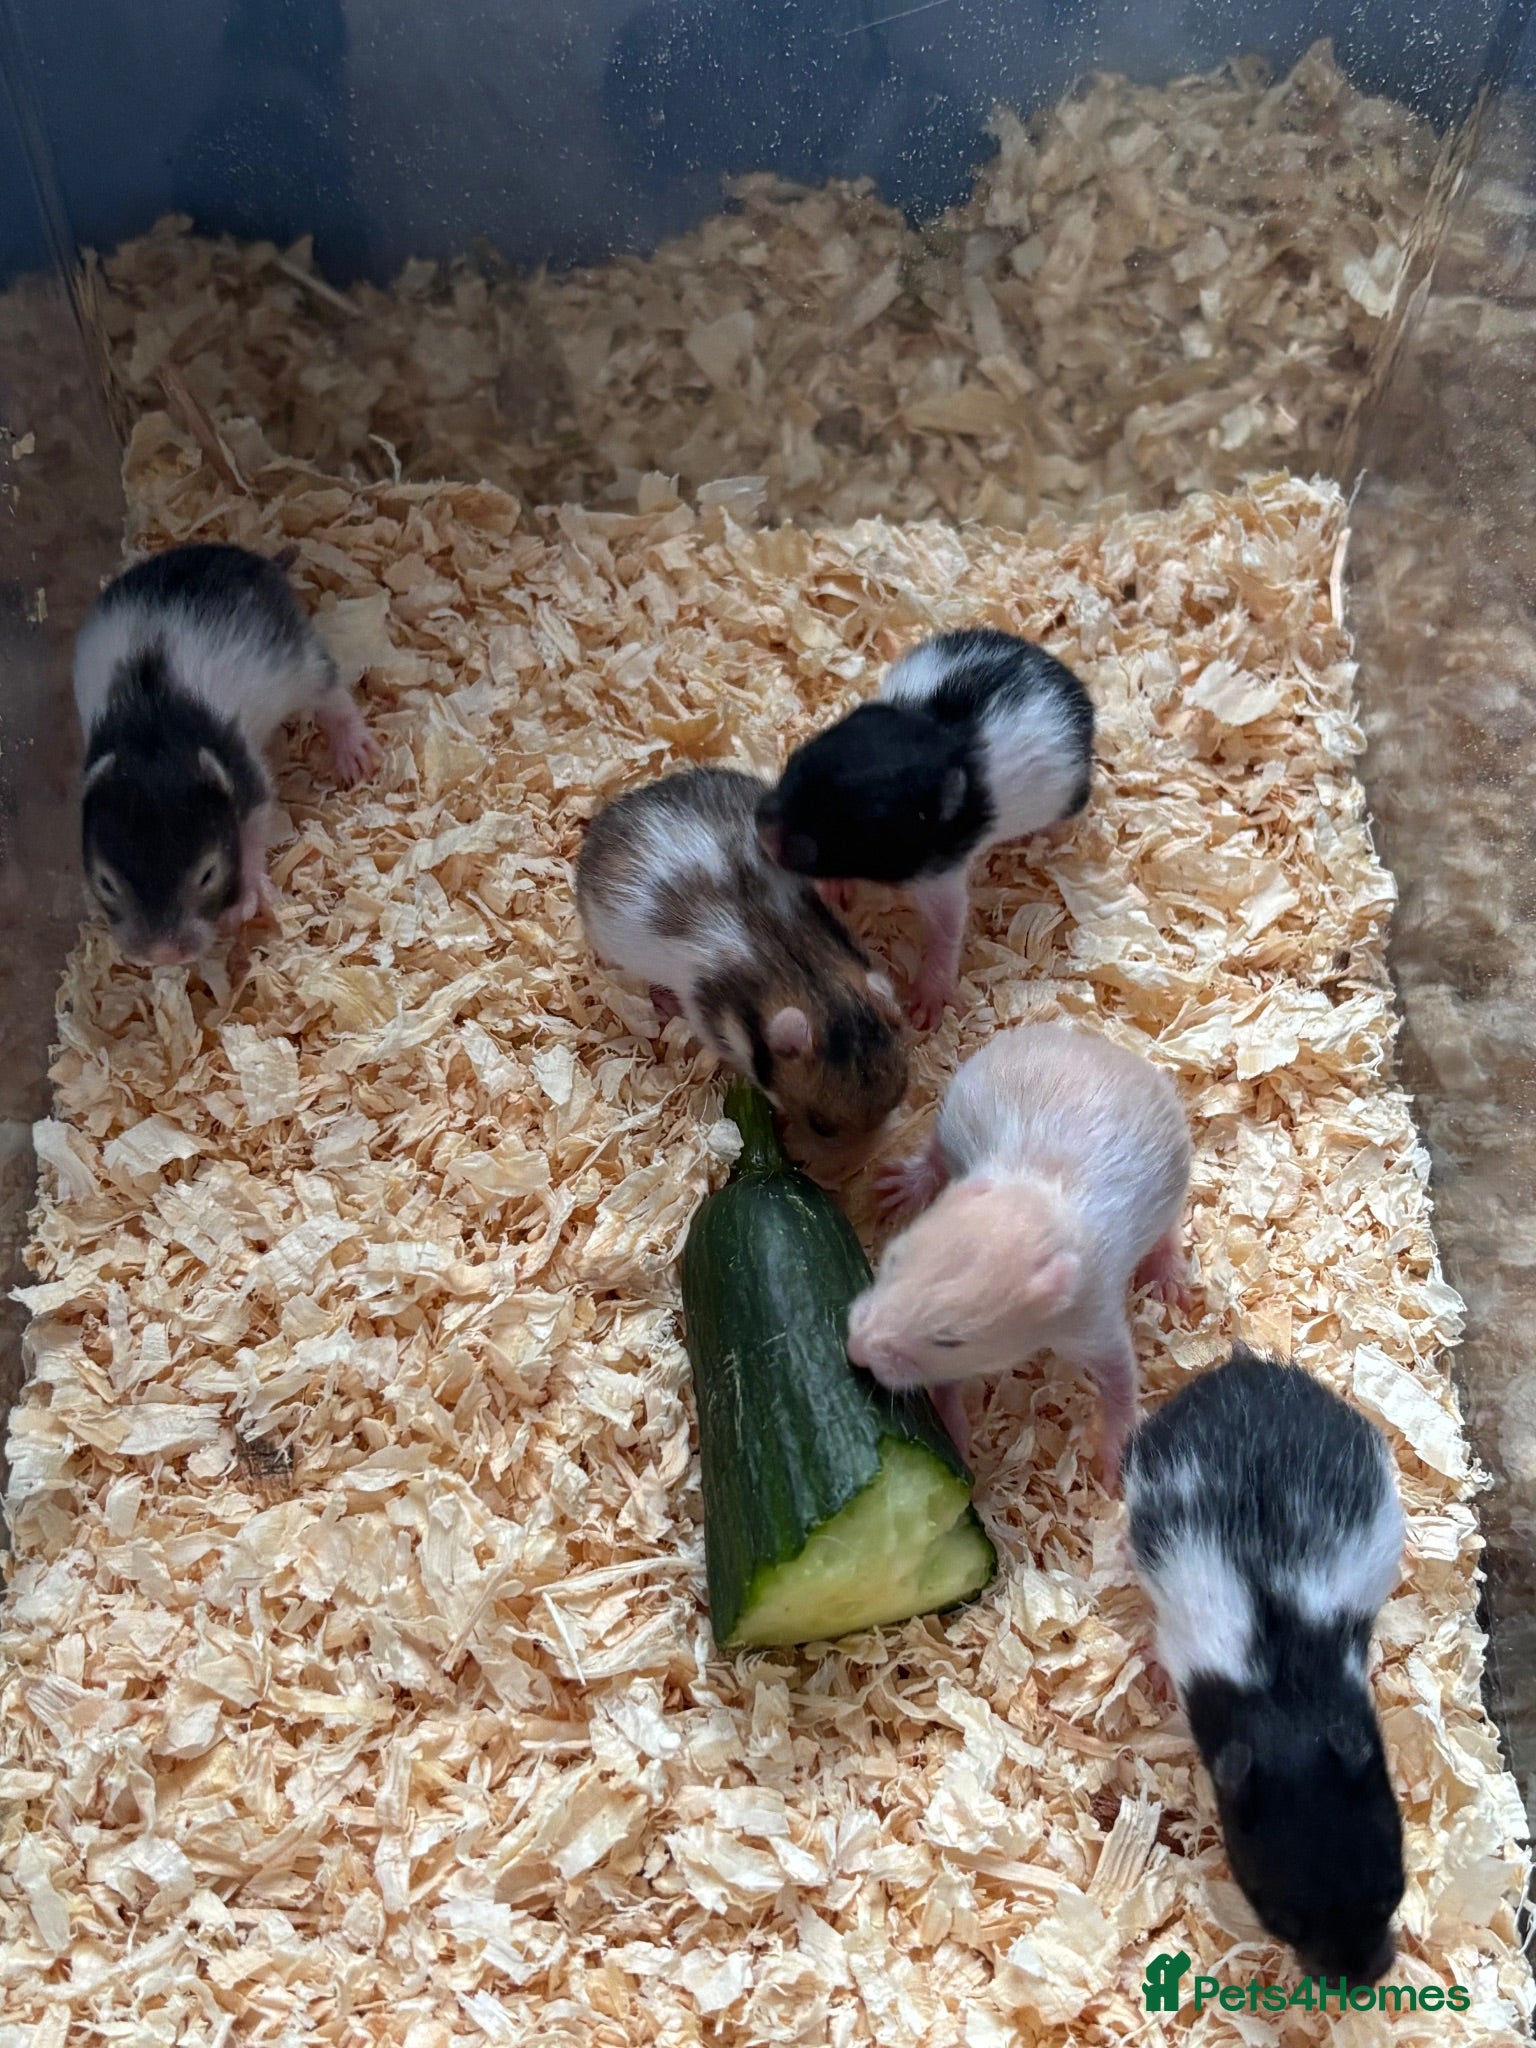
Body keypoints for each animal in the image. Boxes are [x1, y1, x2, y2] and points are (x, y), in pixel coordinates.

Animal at [74, 542, 380, 967]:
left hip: (300, 657)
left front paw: (245, 903)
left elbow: (253, 827)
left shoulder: (247, 777)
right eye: (106, 883)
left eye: (208, 874)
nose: (164, 954)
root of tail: (260, 561)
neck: (149, 736)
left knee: (331, 693)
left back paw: (354, 749)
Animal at [756, 628, 1093, 1028]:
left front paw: (926, 1009)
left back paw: (1050, 837)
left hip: (1071, 792)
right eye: (795, 761)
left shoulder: (940, 878)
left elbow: (947, 931)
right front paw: (835, 890)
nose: (762, 830)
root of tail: (1072, 682)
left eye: (854, 831)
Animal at [845, 1022, 1191, 1482]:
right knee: (937, 1148)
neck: (1034, 1197)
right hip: (958, 1107)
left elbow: (1119, 1372)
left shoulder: (1089, 1310)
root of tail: (1100, 1045)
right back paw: (910, 1181)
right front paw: (955, 1428)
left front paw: (1113, 1453)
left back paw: (1168, 1271)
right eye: (892, 1260)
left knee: (1169, 1224)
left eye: (949, 1339)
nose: (856, 1348)